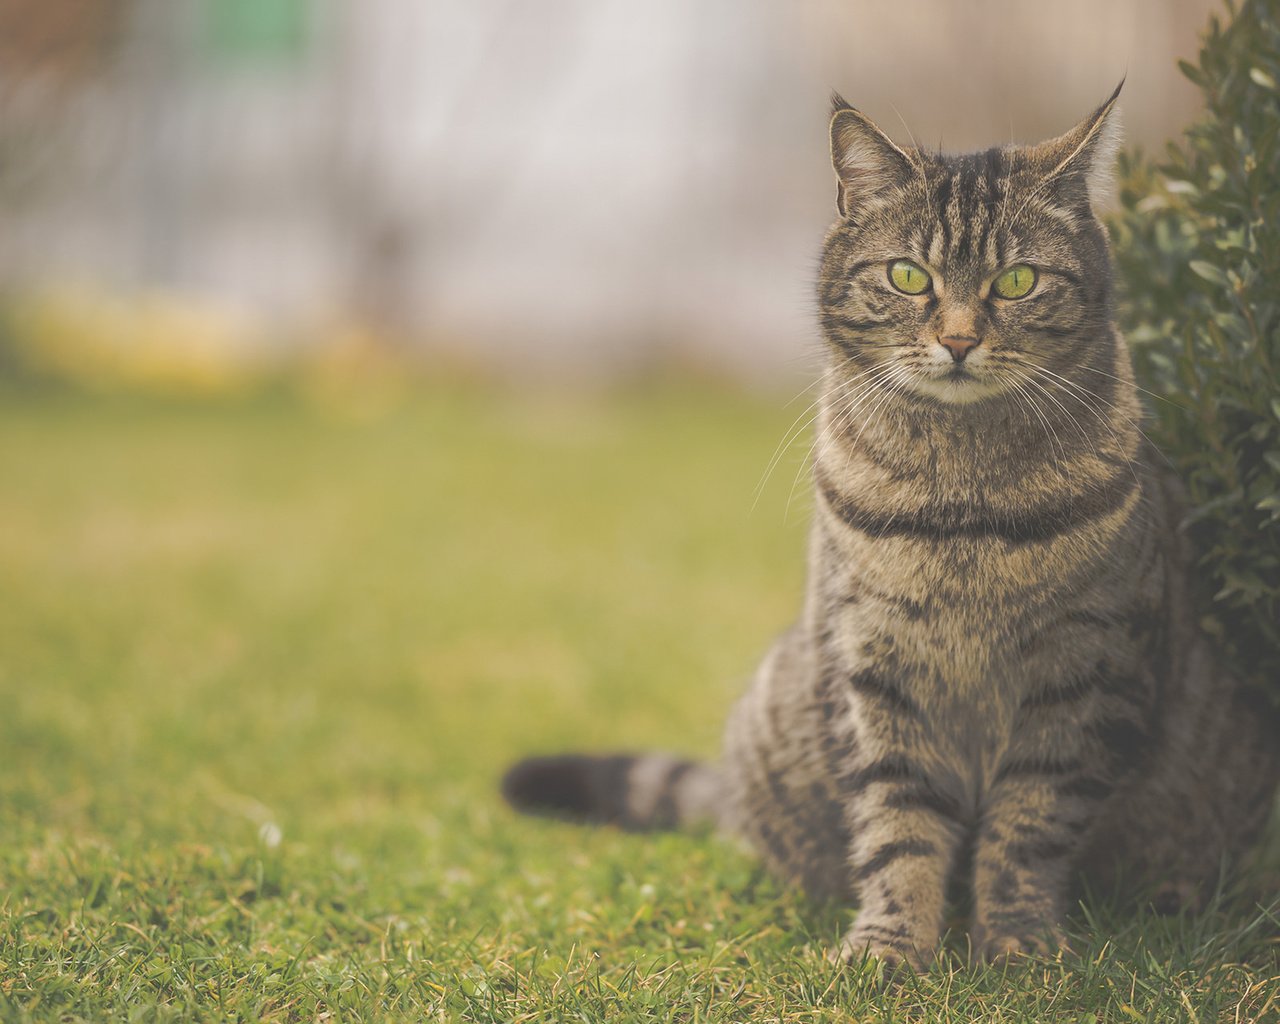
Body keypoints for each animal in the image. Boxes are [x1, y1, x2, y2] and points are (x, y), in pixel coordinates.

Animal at [501, 85, 1280, 967]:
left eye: (1017, 280)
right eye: (909, 275)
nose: (959, 339)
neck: (964, 506)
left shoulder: (1087, 672)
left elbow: (1028, 825)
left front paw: (1017, 945)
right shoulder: (871, 667)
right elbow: (897, 822)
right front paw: (889, 944)